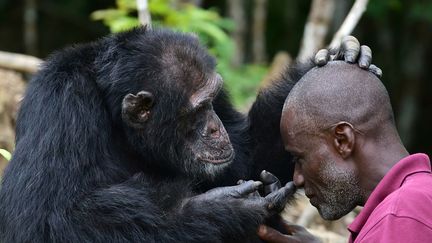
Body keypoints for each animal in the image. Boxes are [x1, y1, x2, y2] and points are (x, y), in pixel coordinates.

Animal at [0, 26, 374, 241]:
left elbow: (248, 154)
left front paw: (339, 57)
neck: (117, 117)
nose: (214, 126)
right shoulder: (60, 106)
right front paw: (222, 209)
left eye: (212, 101)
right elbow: (47, 217)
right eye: (197, 111)